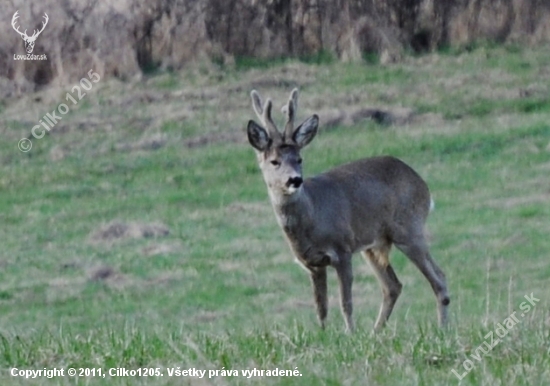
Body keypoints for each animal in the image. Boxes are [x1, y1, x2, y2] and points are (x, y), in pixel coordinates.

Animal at [248, 87, 450, 332]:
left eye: (299, 158)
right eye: (274, 161)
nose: (294, 180)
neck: (313, 216)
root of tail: (423, 185)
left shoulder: (342, 249)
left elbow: (346, 302)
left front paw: (350, 333)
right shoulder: (312, 263)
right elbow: (321, 307)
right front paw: (324, 334)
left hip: (409, 229)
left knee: (439, 278)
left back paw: (443, 329)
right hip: (373, 245)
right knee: (392, 286)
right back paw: (375, 332)